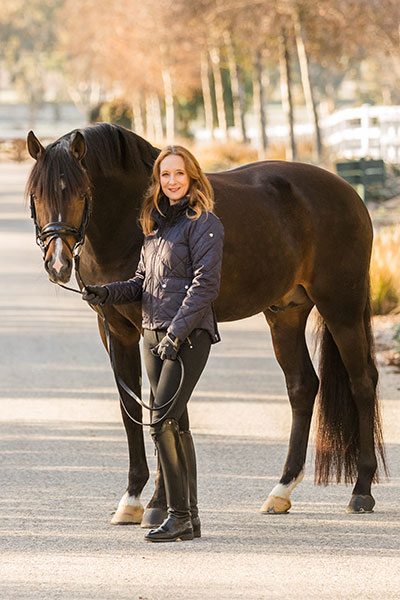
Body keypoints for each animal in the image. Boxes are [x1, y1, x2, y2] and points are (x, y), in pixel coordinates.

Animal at [25, 119, 388, 524]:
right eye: (36, 194)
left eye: (80, 192)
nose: (57, 263)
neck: (135, 221)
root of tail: (349, 192)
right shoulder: (115, 332)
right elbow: (131, 410)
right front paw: (131, 499)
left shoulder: (159, 330)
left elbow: (163, 406)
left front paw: (157, 504)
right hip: (286, 314)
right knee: (302, 386)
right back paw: (281, 490)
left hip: (341, 306)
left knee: (362, 382)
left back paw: (361, 491)